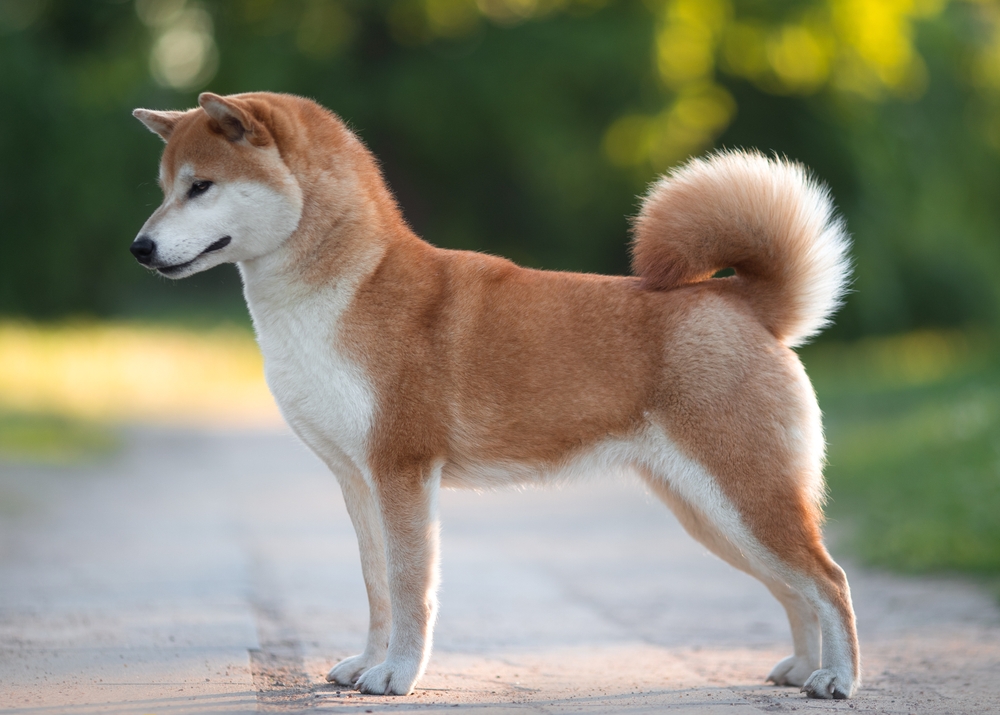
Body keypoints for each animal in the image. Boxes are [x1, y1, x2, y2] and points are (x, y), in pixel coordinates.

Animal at [127, 91, 860, 700]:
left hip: (743, 497)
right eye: (166, 188)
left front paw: (395, 674)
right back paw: (801, 667)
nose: (140, 246)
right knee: (794, 588)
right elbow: (375, 585)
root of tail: (745, 301)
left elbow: (409, 587)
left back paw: (837, 679)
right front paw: (365, 663)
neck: (343, 291)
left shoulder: (403, 472)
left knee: (829, 580)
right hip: (710, 512)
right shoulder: (357, 480)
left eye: (200, 186)